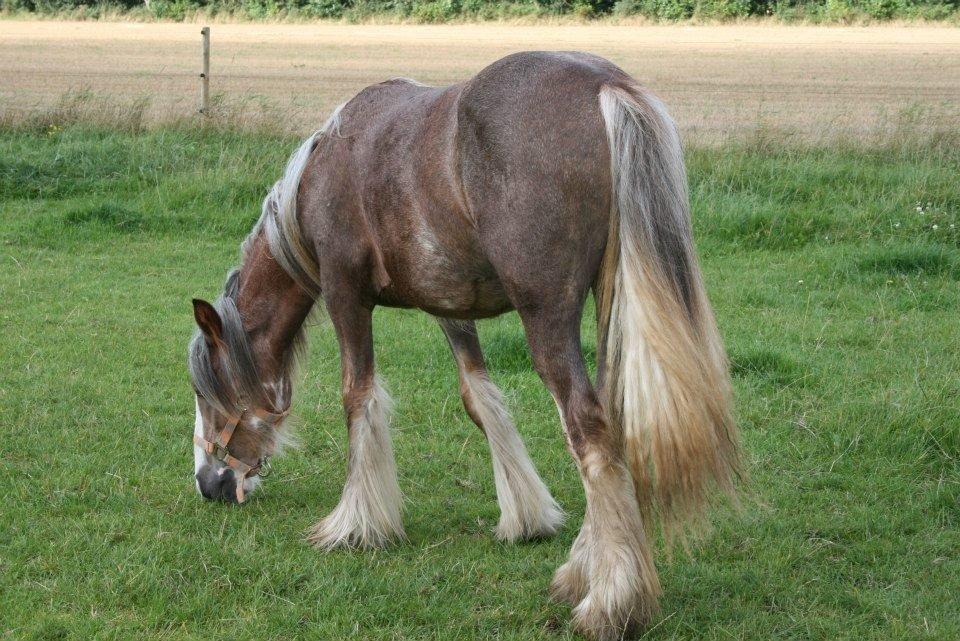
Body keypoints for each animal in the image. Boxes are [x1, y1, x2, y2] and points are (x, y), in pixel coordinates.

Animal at [189, 51, 744, 640]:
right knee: (612, 422)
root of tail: (606, 87)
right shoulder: (449, 308)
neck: (329, 165)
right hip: (609, 300)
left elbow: (357, 397)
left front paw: (356, 524)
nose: (208, 482)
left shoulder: (345, 295)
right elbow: (480, 399)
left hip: (548, 320)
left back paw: (611, 601)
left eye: (206, 393)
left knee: (588, 429)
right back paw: (584, 569)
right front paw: (526, 515)